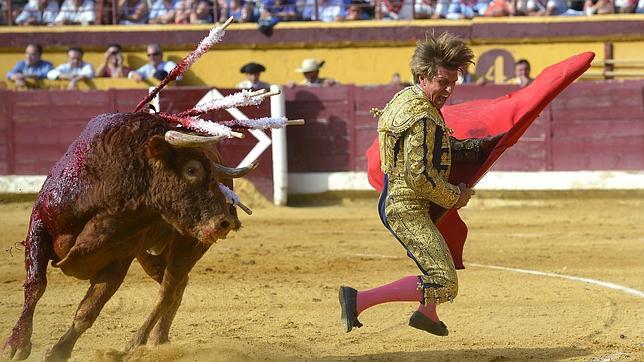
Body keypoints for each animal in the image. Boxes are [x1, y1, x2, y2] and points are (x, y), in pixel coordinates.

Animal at [0, 111, 256, 360]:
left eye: (213, 176)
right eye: (191, 170)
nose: (225, 222)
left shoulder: (118, 261)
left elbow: (87, 312)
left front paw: (58, 351)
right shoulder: (40, 223)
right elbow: (36, 285)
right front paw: (15, 346)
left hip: (188, 246)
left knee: (167, 291)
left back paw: (131, 346)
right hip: (151, 256)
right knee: (176, 286)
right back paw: (158, 339)